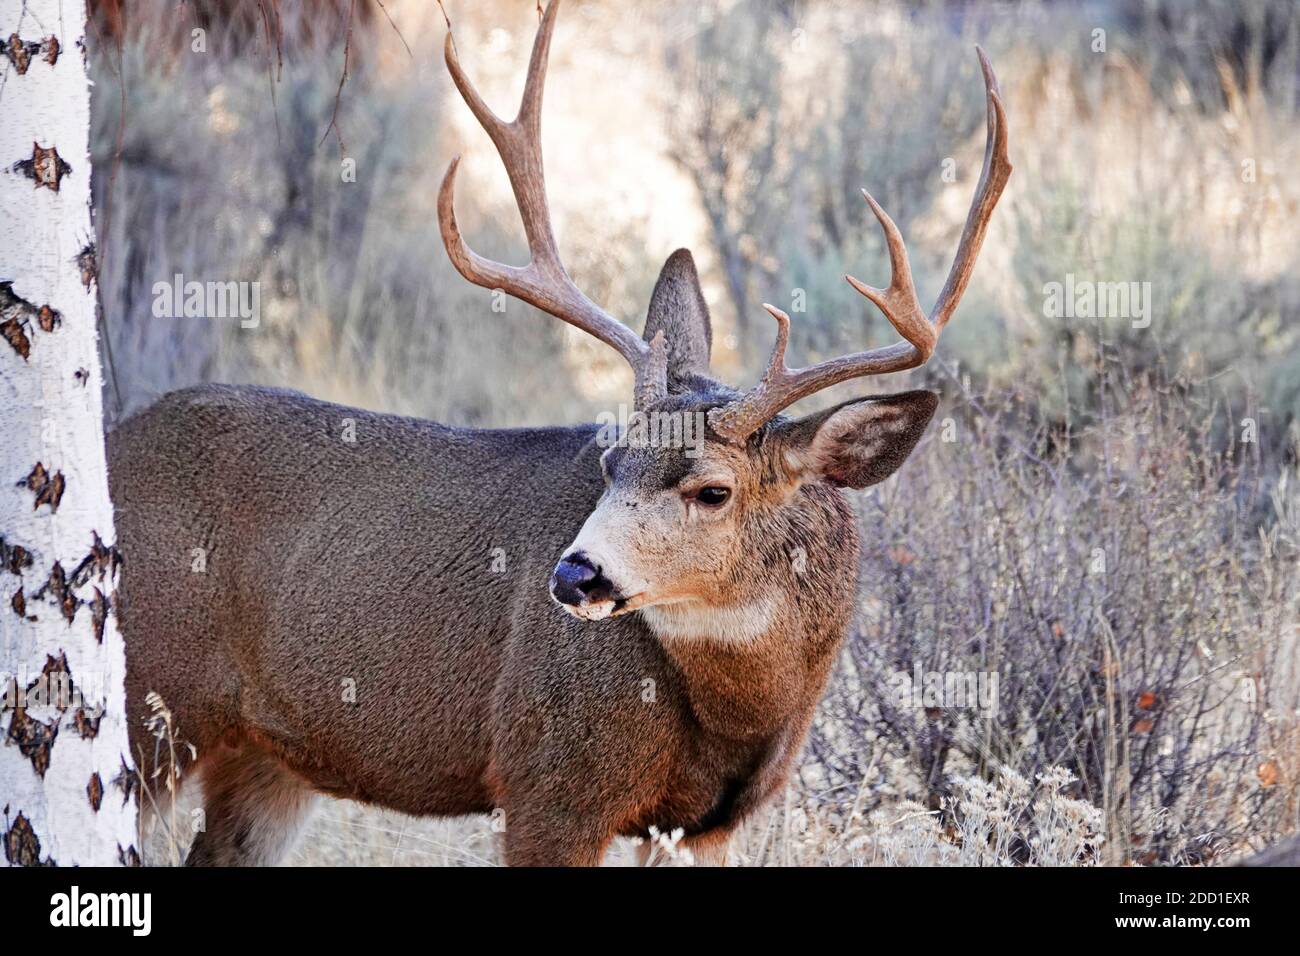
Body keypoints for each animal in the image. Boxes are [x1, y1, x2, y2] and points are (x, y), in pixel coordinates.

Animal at [107, 0, 1010, 866]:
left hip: (268, 757)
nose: (575, 574)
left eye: (713, 490)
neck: (738, 712)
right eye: (609, 461)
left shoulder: (711, 824)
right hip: (150, 699)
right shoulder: (548, 780)